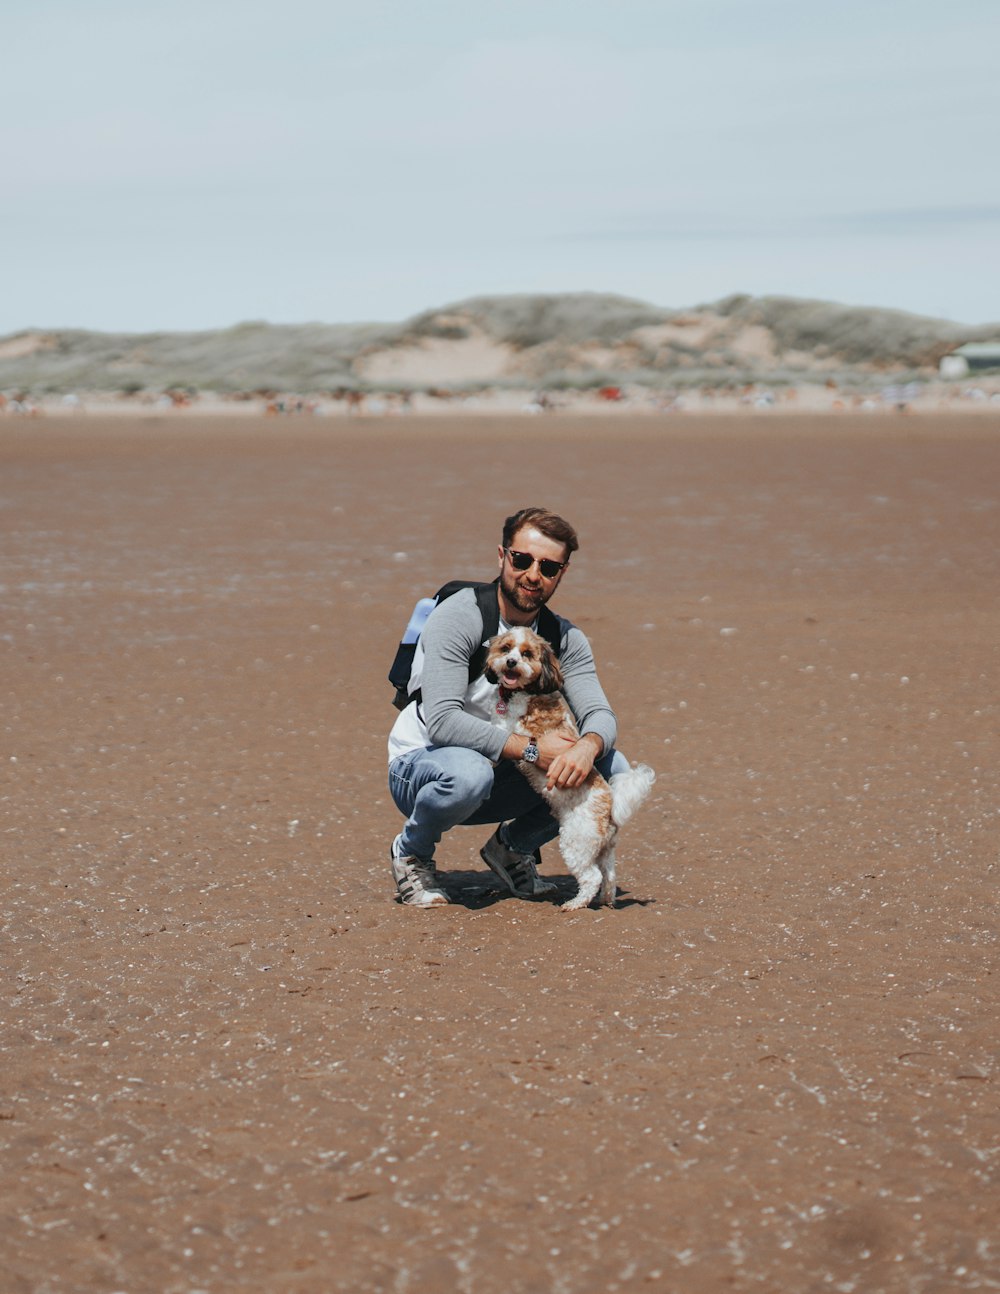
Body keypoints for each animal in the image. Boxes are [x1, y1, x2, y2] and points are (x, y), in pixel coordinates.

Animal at [483, 626, 654, 910]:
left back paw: (575, 903)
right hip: (604, 850)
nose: (511, 662)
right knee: (609, 875)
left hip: (576, 844)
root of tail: (609, 810)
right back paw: (607, 899)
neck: (526, 691)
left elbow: (499, 733)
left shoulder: (514, 728)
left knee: (592, 877)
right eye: (505, 648)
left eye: (527, 654)